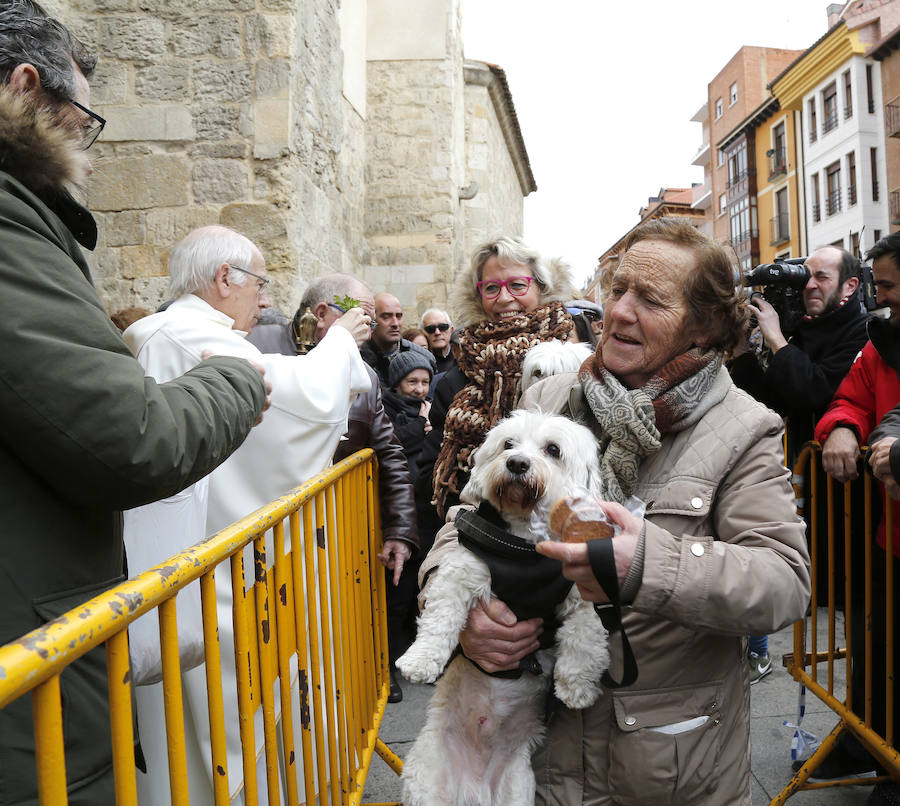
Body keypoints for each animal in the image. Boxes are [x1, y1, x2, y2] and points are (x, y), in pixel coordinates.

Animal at [398, 414, 608, 804]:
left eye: (553, 449)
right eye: (508, 444)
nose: (517, 463)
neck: (526, 549)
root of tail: (473, 789)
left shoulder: (584, 592)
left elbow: (584, 639)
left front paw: (576, 688)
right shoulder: (461, 574)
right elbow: (440, 621)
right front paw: (419, 661)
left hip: (517, 786)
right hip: (427, 779)